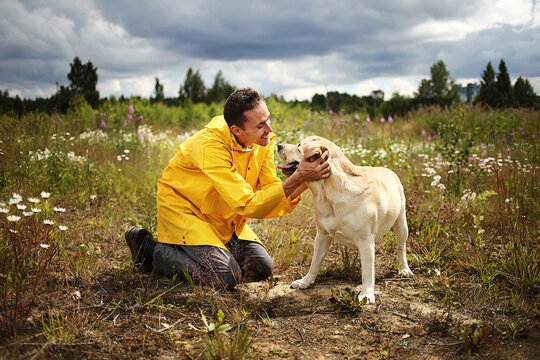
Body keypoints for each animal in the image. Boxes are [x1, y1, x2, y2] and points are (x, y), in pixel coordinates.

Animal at [278, 136, 414, 304]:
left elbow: (368, 271)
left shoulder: (365, 241)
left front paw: (366, 294)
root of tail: (386, 168)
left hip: (401, 224)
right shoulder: (322, 235)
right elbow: (315, 262)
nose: (278, 145)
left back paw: (404, 269)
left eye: (299, 146)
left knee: (401, 247)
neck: (327, 191)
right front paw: (305, 281)